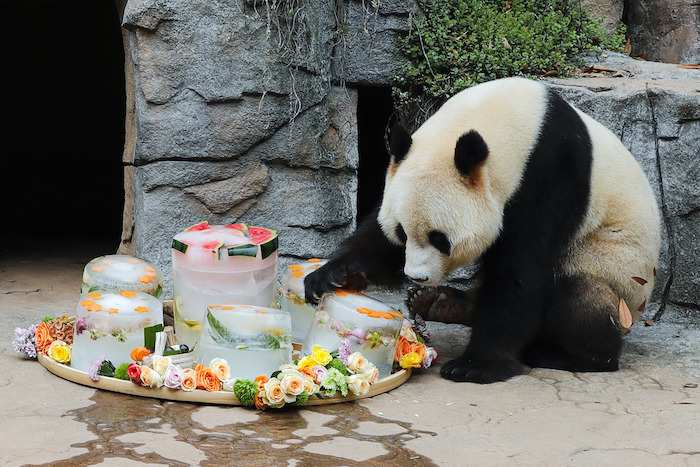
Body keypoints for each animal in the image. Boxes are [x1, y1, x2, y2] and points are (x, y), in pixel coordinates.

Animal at [304, 77, 660, 384]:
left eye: (440, 239)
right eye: (403, 233)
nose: (417, 276)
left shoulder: (549, 178)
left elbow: (522, 271)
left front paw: (477, 365)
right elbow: (378, 237)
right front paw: (333, 276)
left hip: (615, 273)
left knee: (578, 295)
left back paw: (570, 355)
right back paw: (438, 302)